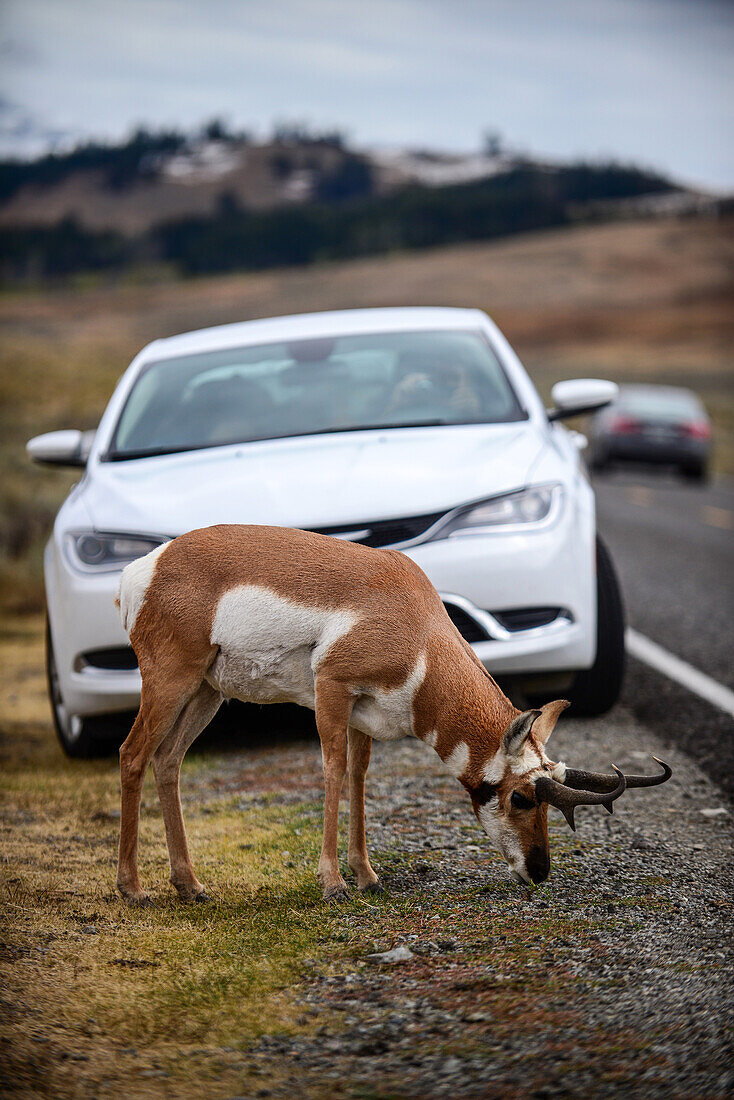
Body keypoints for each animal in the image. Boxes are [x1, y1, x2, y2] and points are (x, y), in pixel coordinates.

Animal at [114, 523, 673, 902]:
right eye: (519, 797)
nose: (539, 872)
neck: (414, 625)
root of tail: (146, 568)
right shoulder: (332, 689)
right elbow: (334, 771)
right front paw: (334, 883)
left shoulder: (361, 716)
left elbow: (359, 778)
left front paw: (367, 876)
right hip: (170, 681)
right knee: (132, 754)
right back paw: (133, 889)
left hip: (206, 693)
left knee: (168, 761)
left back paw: (190, 886)